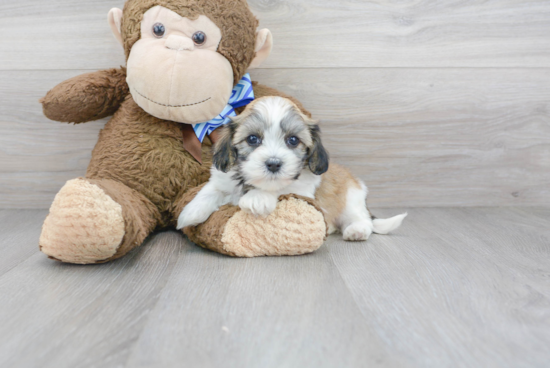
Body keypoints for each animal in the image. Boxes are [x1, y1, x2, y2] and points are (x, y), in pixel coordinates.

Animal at [179, 96, 408, 240]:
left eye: (293, 140)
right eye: (252, 139)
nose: (273, 163)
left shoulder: (302, 188)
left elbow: (282, 188)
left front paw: (257, 198)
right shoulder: (221, 178)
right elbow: (210, 190)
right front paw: (189, 213)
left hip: (351, 199)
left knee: (362, 219)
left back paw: (357, 230)